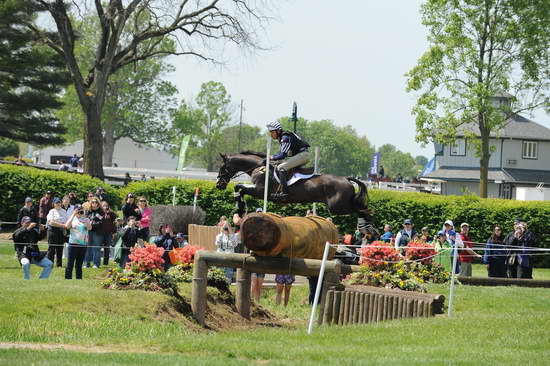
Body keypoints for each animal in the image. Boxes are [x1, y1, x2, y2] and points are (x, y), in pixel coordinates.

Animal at [215, 150, 376, 230]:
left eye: (223, 167)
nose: (218, 185)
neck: (258, 168)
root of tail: (346, 179)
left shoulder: (260, 191)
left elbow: (240, 187)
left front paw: (240, 208)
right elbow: (239, 188)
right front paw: (240, 208)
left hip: (338, 207)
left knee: (363, 210)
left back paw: (369, 230)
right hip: (339, 206)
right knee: (362, 210)